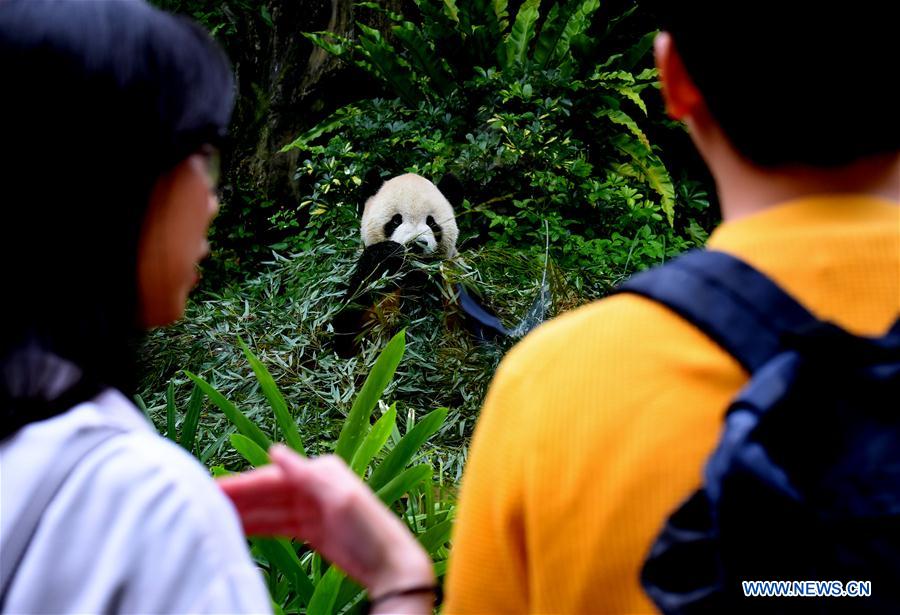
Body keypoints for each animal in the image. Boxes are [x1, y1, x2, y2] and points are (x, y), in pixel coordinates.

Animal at [330, 171, 510, 358]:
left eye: (431, 222)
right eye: (396, 221)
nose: (416, 244)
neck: (415, 277)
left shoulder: (454, 282)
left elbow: (487, 331)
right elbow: (350, 335)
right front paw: (387, 253)